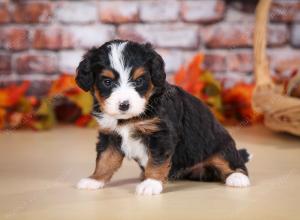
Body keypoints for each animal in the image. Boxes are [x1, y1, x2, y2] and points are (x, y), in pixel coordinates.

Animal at [75, 40, 251, 195]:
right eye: (107, 81)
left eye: (139, 81)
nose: (124, 105)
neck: (130, 118)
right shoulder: (110, 135)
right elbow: (105, 159)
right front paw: (94, 179)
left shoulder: (161, 134)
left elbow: (156, 161)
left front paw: (151, 183)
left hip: (220, 144)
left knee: (230, 161)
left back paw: (237, 177)